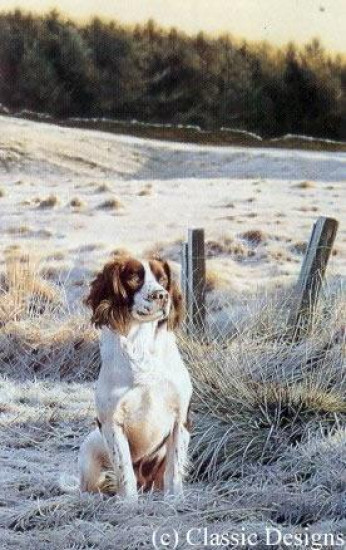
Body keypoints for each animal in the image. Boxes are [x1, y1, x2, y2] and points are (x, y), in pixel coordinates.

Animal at [78, 256, 192, 502]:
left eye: (163, 279)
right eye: (133, 278)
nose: (161, 295)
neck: (142, 346)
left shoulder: (180, 419)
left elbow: (174, 470)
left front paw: (175, 501)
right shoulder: (112, 422)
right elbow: (124, 470)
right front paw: (129, 504)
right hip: (90, 449)